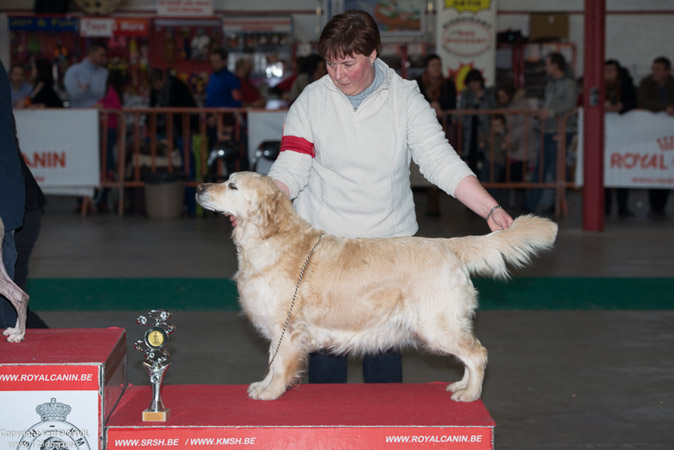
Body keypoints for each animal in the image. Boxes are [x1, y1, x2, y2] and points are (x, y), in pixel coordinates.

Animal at [196, 171, 556, 400]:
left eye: (232, 185)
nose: (199, 187)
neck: (271, 238)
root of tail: (449, 245)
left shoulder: (288, 327)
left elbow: (280, 363)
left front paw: (270, 392)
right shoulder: (278, 328)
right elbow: (271, 362)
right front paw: (263, 384)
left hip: (436, 324)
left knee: (477, 354)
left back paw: (470, 394)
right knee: (470, 355)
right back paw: (461, 386)